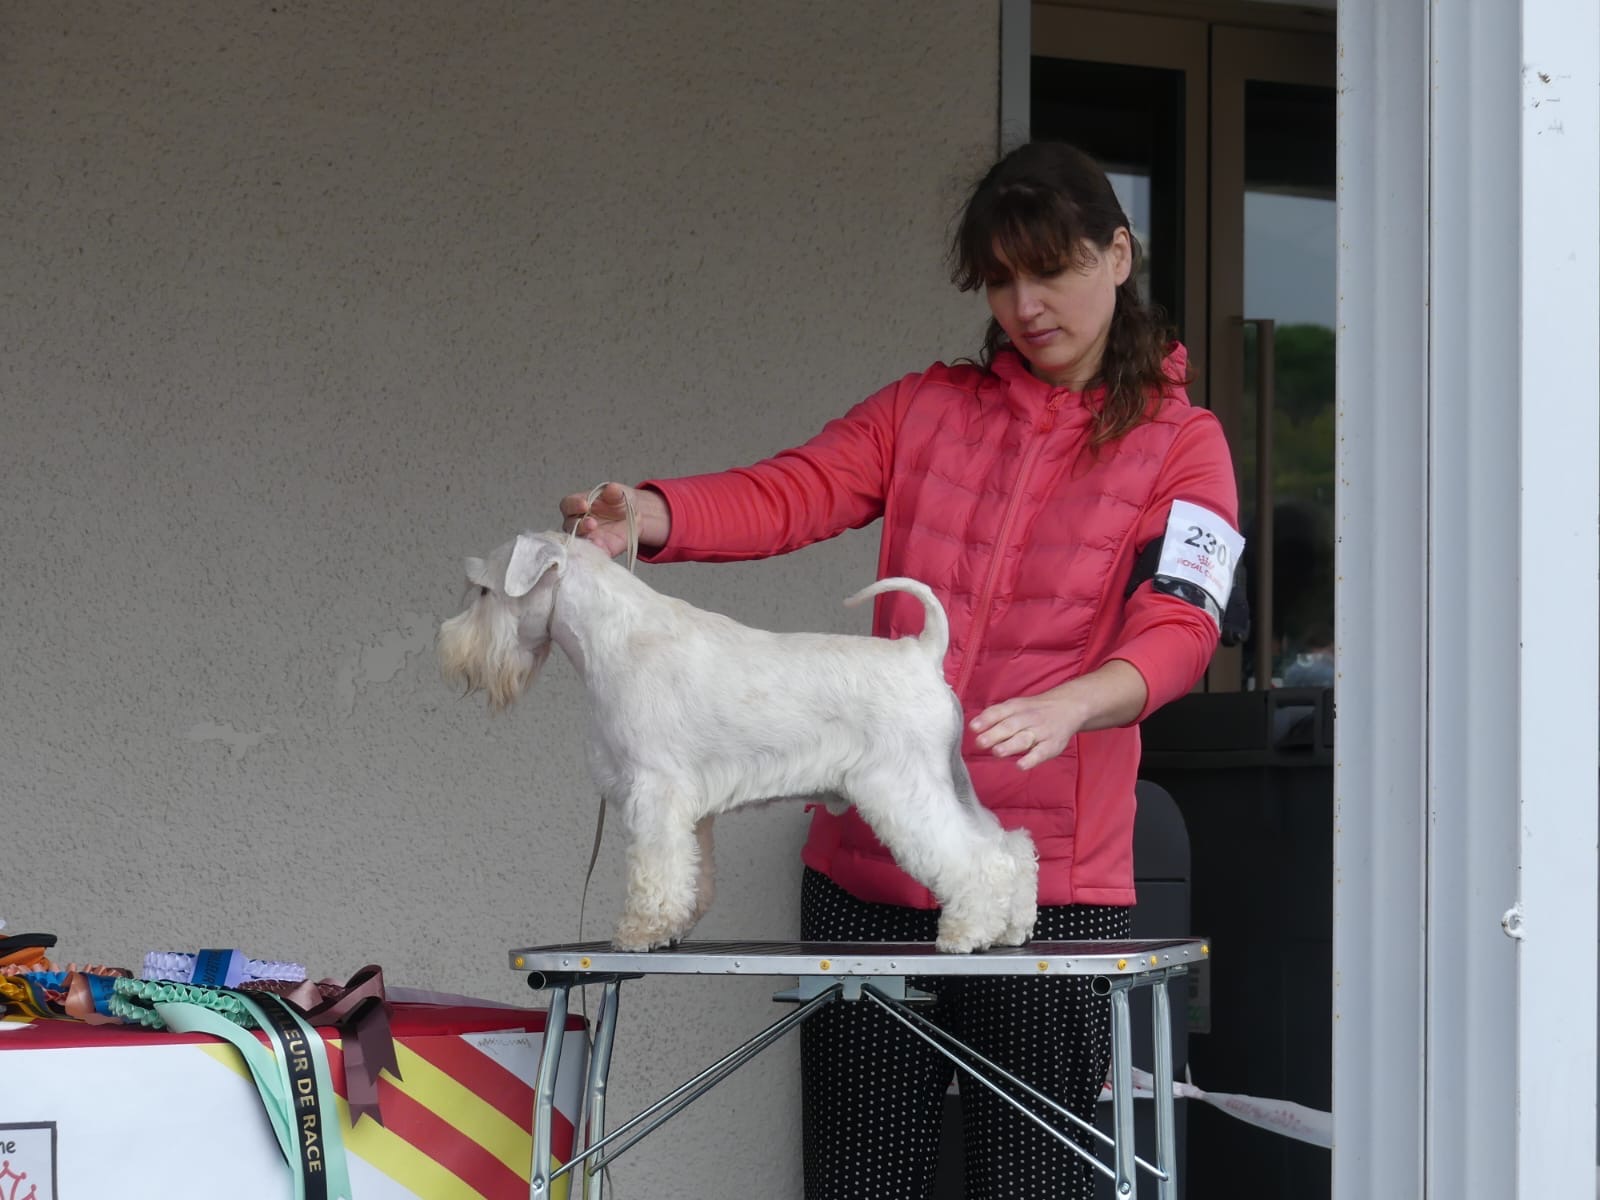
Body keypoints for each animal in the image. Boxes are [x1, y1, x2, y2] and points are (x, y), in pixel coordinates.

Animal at [438, 534, 1036, 960]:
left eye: (485, 591)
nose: (447, 645)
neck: (617, 635)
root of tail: (922, 651)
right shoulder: (688, 807)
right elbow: (689, 870)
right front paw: (671, 927)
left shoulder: (654, 789)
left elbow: (654, 868)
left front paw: (638, 931)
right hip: (949, 780)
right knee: (1008, 844)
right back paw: (1011, 928)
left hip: (905, 789)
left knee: (975, 858)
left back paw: (965, 932)